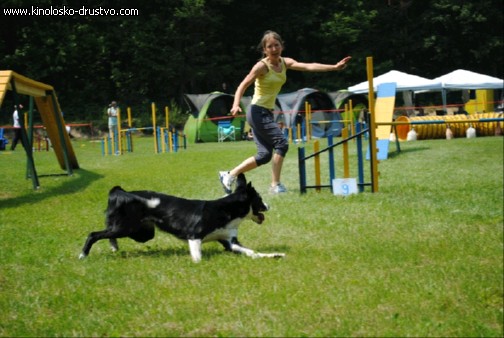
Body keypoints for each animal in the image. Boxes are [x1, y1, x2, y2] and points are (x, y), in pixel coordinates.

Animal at [79, 173, 284, 262]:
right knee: (94, 234)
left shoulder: (230, 242)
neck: (227, 210)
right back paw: (83, 255)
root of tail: (122, 192)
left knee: (108, 232)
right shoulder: (194, 236)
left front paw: (275, 255)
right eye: (259, 199)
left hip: (141, 233)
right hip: (127, 228)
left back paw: (113, 246)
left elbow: (252, 253)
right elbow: (197, 257)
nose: (269, 206)